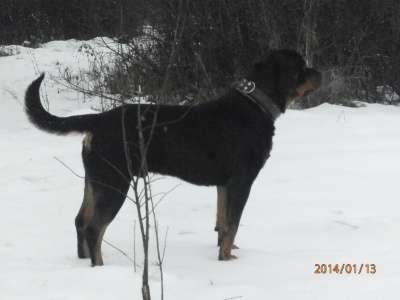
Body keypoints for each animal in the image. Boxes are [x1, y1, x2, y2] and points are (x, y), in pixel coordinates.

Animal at [24, 49, 322, 268]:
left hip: (95, 180)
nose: (319, 72)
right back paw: (100, 268)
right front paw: (226, 260)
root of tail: (97, 121)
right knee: (94, 228)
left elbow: (223, 223)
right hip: (114, 183)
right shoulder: (241, 182)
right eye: (301, 67)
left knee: (80, 221)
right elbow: (233, 224)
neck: (256, 105)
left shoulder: (224, 184)